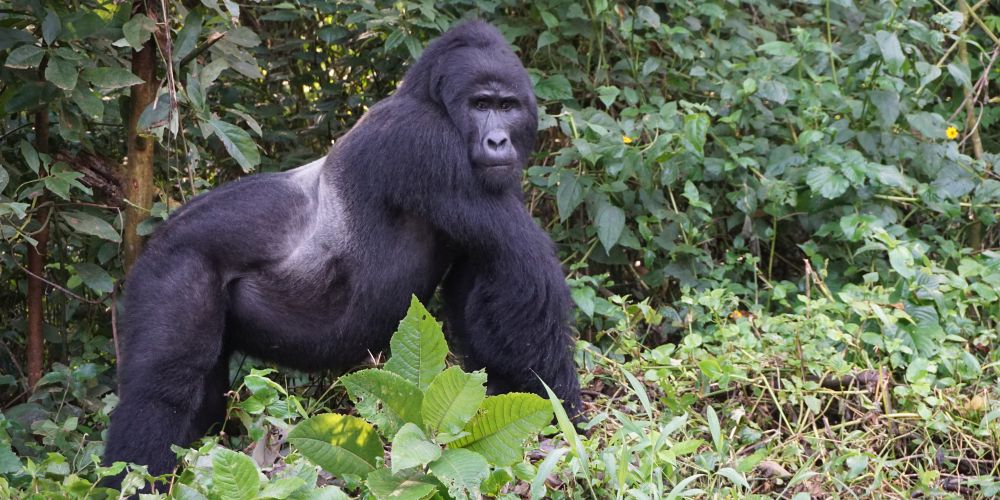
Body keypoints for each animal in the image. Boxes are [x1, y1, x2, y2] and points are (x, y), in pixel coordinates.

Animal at [102, 21, 584, 482]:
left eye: (508, 107)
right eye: (481, 105)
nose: (498, 142)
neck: (429, 99)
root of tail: (155, 241)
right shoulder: (421, 140)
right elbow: (523, 274)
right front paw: (564, 419)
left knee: (200, 399)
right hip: (172, 268)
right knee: (162, 390)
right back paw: (131, 479)